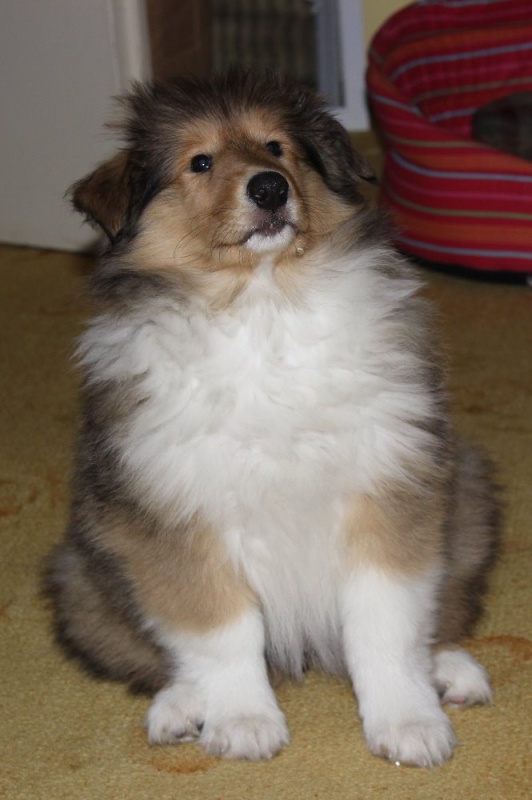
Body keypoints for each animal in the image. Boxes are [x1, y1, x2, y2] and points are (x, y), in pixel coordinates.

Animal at [46, 71, 499, 767]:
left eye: (277, 147)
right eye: (200, 162)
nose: (268, 188)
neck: (263, 303)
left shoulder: (387, 485)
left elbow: (386, 622)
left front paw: (408, 724)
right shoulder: (179, 513)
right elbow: (219, 629)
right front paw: (244, 722)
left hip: (467, 496)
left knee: (440, 611)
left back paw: (450, 669)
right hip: (82, 574)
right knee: (154, 653)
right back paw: (180, 708)